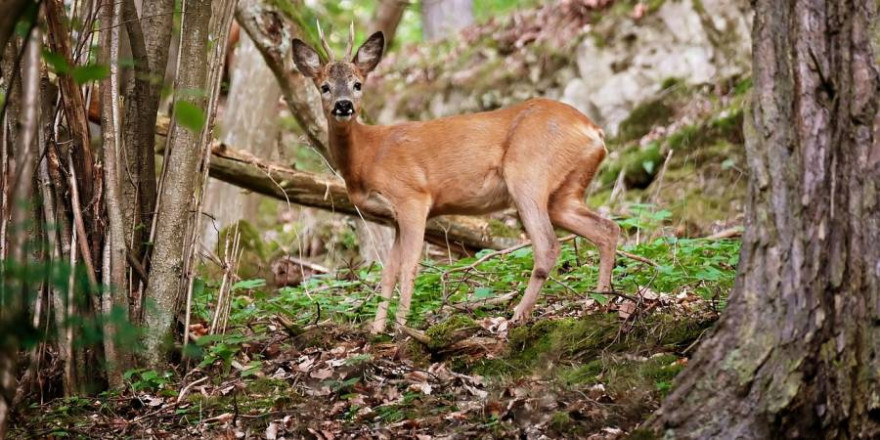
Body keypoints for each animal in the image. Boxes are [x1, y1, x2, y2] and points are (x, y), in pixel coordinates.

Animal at [294, 24, 620, 334]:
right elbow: (387, 272)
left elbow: (409, 266)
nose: (344, 105)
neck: (367, 155)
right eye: (324, 86)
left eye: (357, 84)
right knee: (607, 228)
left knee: (548, 246)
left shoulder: (412, 196)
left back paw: (516, 317)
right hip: (565, 191)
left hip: (529, 174)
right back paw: (599, 301)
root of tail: (594, 131)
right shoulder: (395, 217)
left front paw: (401, 329)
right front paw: (376, 331)